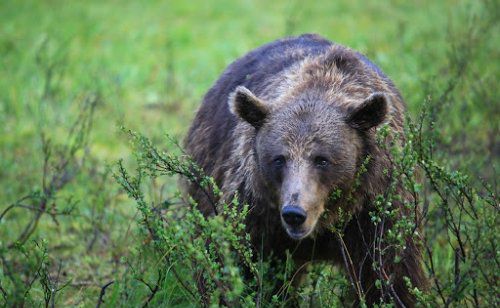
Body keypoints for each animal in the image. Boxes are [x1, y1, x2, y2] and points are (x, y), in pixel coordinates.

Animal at [184, 33, 426, 306]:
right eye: (279, 159)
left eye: (322, 159)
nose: (294, 213)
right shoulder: (257, 211)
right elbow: (240, 266)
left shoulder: (376, 208)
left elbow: (389, 274)